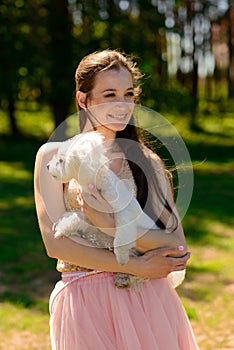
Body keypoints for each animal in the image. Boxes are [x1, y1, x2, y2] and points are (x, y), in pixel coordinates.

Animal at [47, 131, 185, 290]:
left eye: (61, 160)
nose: (47, 166)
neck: (97, 183)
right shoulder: (89, 215)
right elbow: (75, 219)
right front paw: (61, 229)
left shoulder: (123, 215)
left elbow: (121, 236)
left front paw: (121, 257)